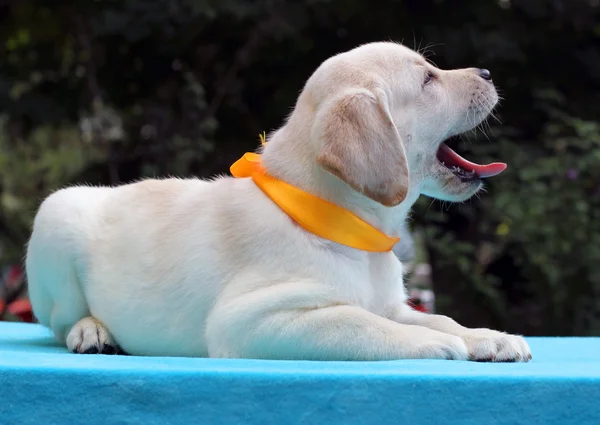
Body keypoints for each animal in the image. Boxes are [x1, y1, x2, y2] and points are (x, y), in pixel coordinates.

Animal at [24, 42, 528, 362]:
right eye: (427, 79)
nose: (487, 73)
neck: (345, 224)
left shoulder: (394, 304)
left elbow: (437, 317)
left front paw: (487, 337)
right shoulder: (253, 319)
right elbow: (362, 324)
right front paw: (436, 345)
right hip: (57, 216)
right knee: (58, 321)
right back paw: (91, 330)